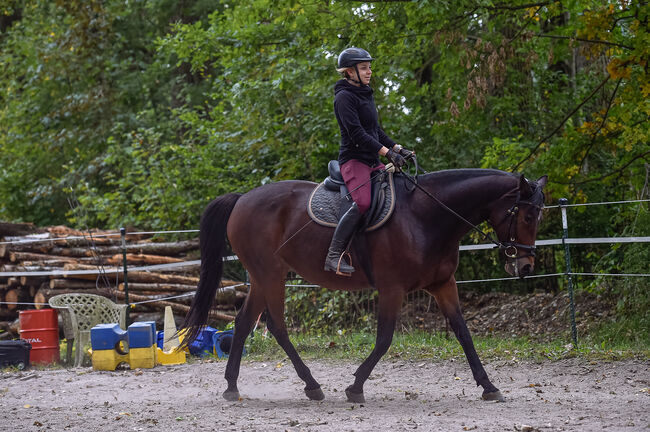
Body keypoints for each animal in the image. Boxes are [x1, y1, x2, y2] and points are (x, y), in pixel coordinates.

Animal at [180, 167, 544, 404]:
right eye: (527, 216)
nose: (525, 265)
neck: (425, 217)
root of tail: (243, 198)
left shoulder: (443, 284)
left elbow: (463, 332)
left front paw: (489, 386)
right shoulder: (392, 288)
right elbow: (384, 339)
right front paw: (355, 387)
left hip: (262, 276)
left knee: (243, 324)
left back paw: (233, 386)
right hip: (270, 274)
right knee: (276, 325)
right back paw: (311, 385)